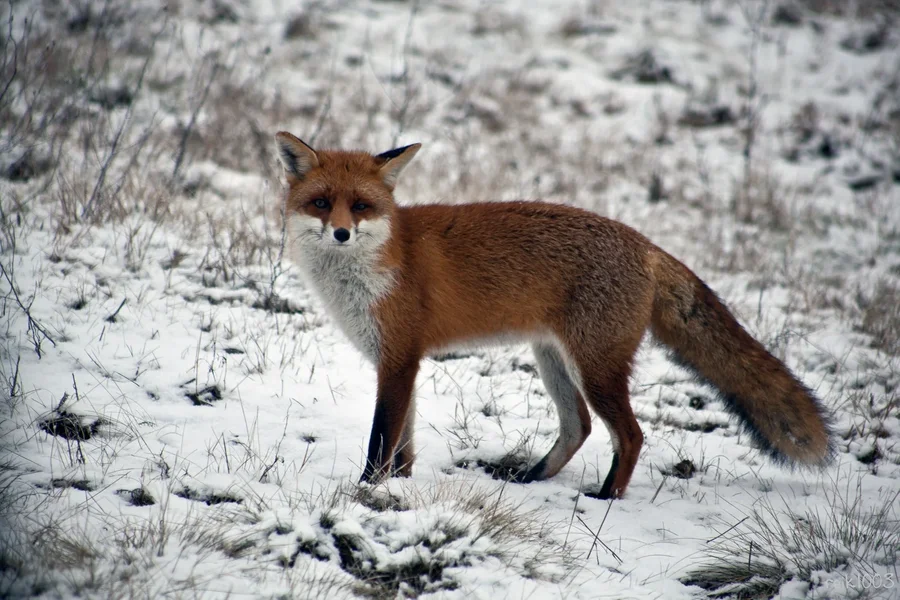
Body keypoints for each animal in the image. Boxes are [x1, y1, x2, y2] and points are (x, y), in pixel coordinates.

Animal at [274, 130, 833, 499]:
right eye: (321, 203)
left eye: (360, 206)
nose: (340, 233)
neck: (380, 262)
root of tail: (646, 244)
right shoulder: (400, 362)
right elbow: (402, 442)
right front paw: (400, 489)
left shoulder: (399, 358)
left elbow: (380, 440)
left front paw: (366, 493)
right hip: (553, 360)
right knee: (579, 426)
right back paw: (532, 477)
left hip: (595, 367)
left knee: (630, 434)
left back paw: (606, 497)